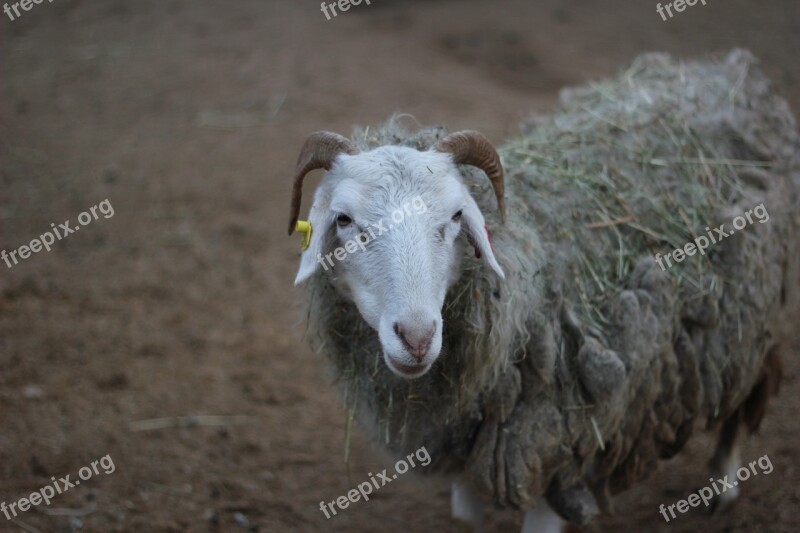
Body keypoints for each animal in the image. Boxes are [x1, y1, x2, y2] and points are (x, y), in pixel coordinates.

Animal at [284, 48, 796, 528]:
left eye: (456, 216)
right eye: (344, 220)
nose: (417, 337)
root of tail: (729, 70)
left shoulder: (554, 454)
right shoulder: (466, 451)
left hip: (754, 317)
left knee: (748, 394)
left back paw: (724, 485)